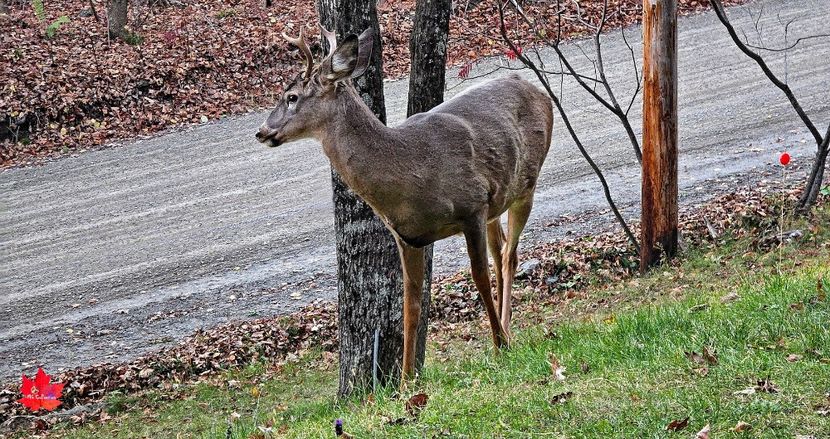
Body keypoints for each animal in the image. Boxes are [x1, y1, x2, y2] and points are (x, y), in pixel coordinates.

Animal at [256, 24, 553, 381]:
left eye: (292, 97)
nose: (262, 131)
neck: (410, 171)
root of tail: (536, 89)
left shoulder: (472, 207)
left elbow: (478, 276)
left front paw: (499, 345)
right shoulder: (408, 236)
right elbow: (410, 305)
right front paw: (406, 380)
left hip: (526, 185)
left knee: (509, 255)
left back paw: (506, 332)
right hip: (498, 200)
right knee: (501, 249)